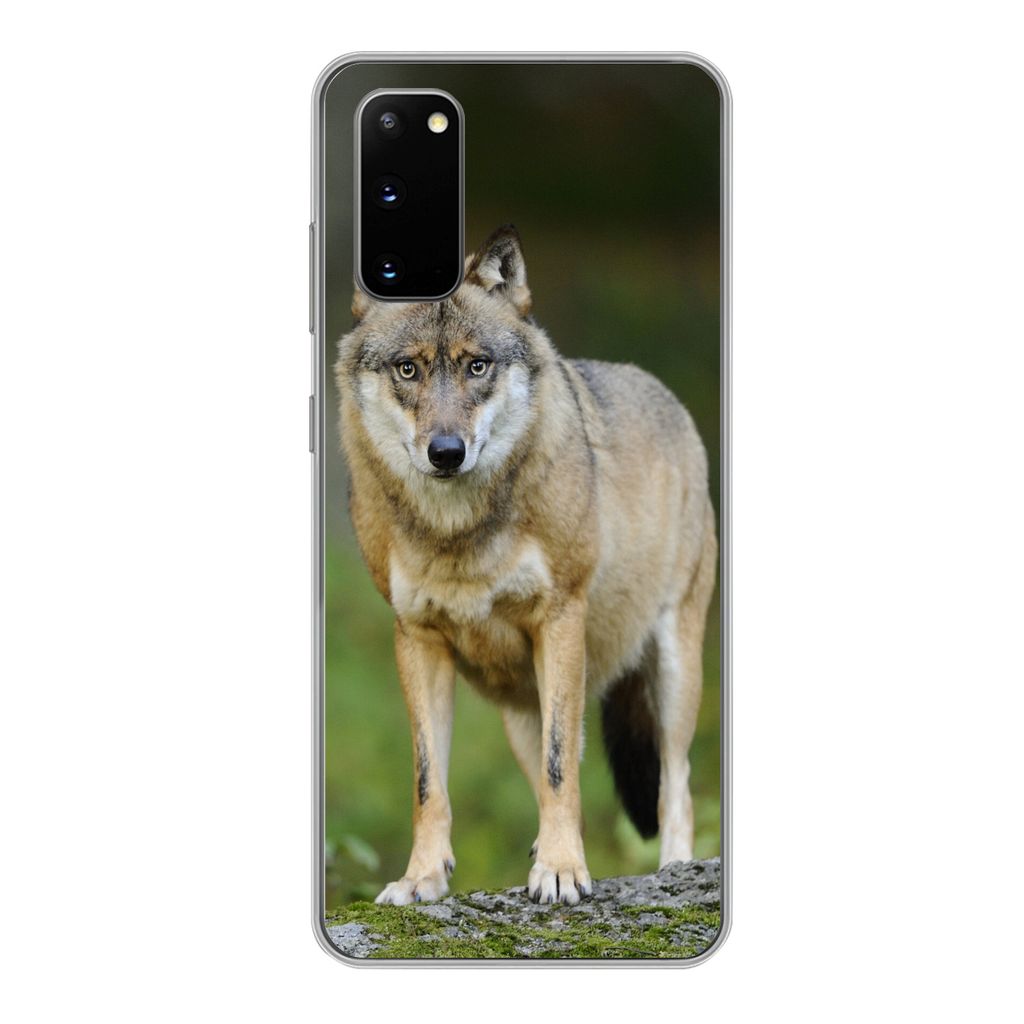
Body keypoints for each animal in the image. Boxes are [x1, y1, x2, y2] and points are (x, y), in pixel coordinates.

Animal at [334, 226, 717, 906]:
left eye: (476, 366)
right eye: (408, 368)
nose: (446, 452)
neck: (458, 536)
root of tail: (663, 391)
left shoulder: (560, 618)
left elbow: (563, 769)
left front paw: (563, 872)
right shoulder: (416, 639)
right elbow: (429, 782)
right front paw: (422, 877)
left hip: (673, 671)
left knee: (676, 783)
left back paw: (671, 871)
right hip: (521, 711)